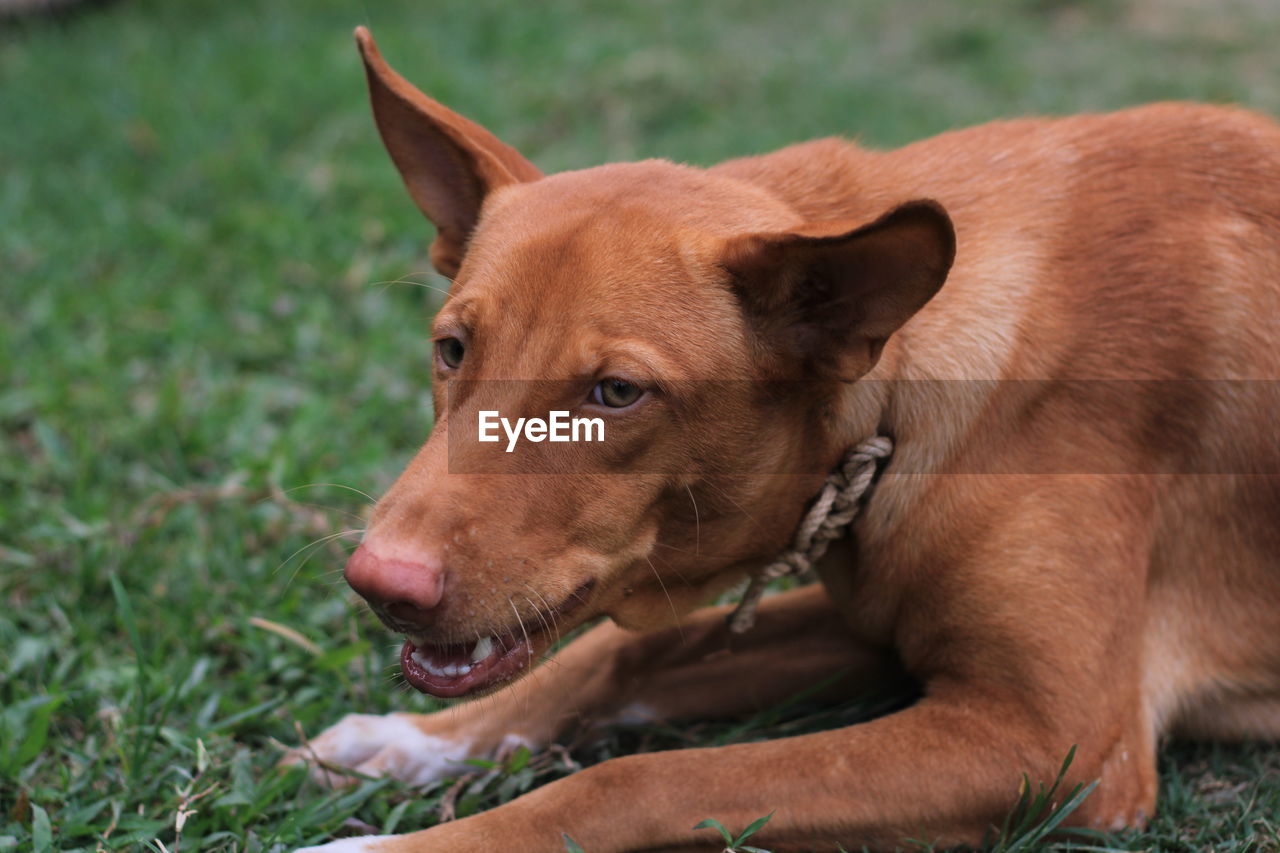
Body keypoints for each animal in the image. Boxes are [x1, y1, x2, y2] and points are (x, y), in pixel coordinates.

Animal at [288, 26, 1280, 850]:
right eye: (453, 349)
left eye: (617, 392)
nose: (379, 582)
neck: (907, 383)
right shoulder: (875, 628)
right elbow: (620, 651)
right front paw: (420, 739)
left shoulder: (1055, 743)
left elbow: (635, 781)